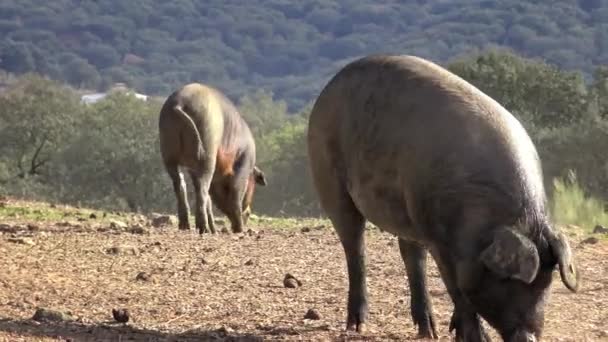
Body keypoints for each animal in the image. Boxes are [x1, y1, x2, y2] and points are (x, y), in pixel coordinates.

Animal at [159, 83, 266, 234]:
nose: (248, 212)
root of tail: (178, 104)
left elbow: (213, 200)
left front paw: (216, 229)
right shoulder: (244, 162)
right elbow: (235, 192)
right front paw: (239, 231)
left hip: (168, 150)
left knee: (179, 184)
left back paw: (185, 227)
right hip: (208, 143)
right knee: (202, 188)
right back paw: (203, 229)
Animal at [308, 54, 580, 340]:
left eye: (547, 282)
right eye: (509, 280)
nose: (528, 337)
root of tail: (330, 86)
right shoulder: (439, 238)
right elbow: (457, 289)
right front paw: (476, 337)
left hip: (407, 210)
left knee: (411, 255)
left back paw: (429, 331)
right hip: (329, 178)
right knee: (355, 246)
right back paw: (357, 325)